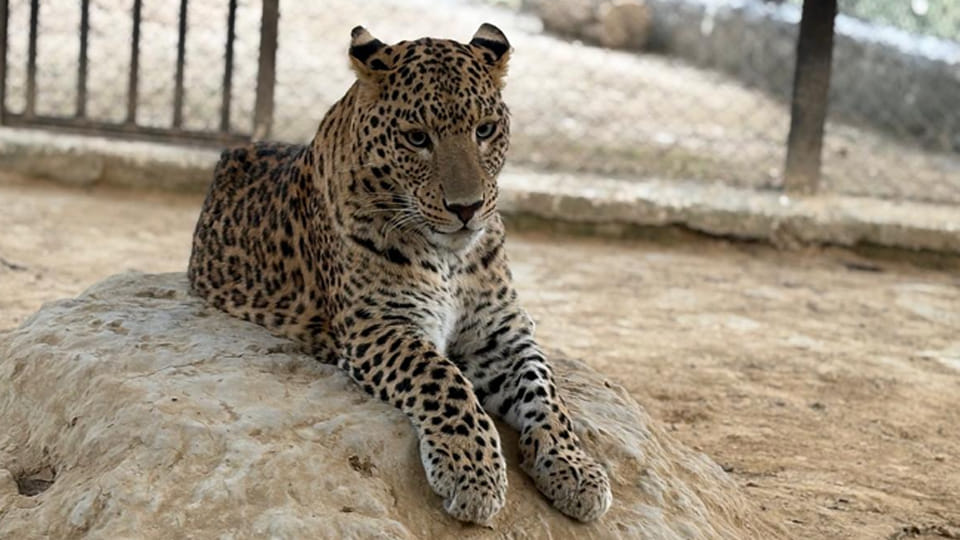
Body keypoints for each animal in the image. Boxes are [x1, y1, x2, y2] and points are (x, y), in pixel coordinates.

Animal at [188, 23, 612, 524]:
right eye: (416, 138)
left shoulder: (501, 333)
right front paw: (473, 472)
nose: (467, 208)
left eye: (485, 130)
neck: (451, 260)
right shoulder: (380, 325)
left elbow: (546, 391)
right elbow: (443, 379)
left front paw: (574, 466)